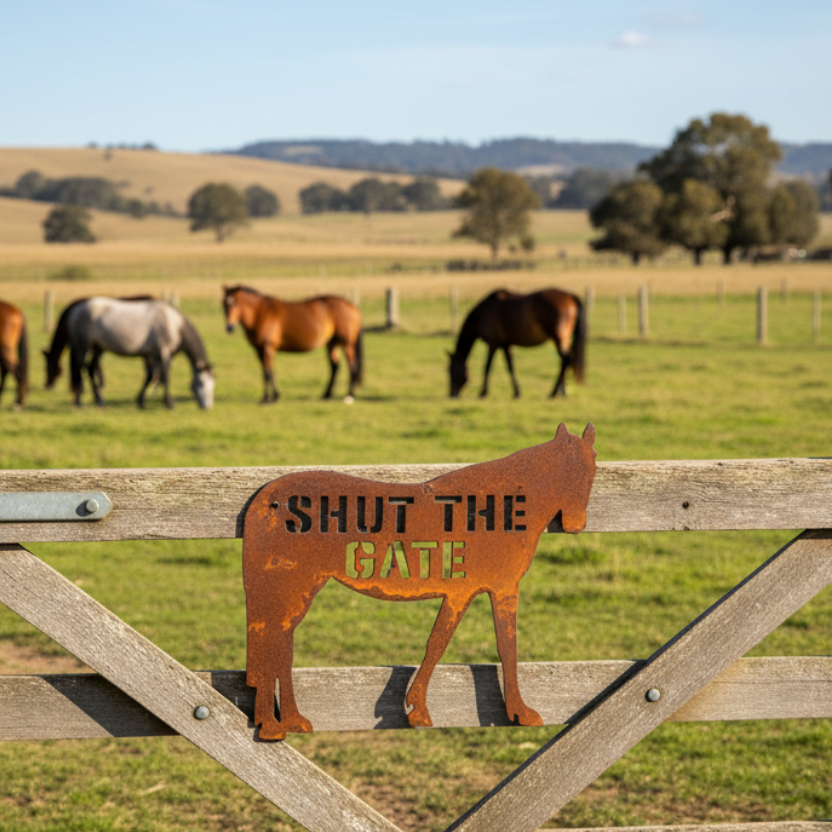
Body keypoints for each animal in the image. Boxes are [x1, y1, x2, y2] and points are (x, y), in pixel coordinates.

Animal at [44, 297, 215, 409]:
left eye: (213, 385)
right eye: (201, 383)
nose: (207, 406)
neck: (173, 324)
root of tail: (75, 310)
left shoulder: (155, 355)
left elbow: (152, 377)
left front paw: (142, 400)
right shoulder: (163, 353)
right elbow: (165, 377)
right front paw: (169, 403)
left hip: (98, 349)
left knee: (91, 369)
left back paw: (100, 400)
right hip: (82, 348)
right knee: (80, 370)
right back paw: (80, 401)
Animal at [222, 285, 363, 403]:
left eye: (235, 303)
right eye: (224, 305)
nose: (229, 328)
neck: (261, 314)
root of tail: (352, 306)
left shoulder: (268, 347)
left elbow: (268, 372)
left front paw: (271, 398)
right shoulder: (259, 349)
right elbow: (266, 372)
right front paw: (268, 397)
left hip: (347, 344)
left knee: (352, 366)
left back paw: (349, 396)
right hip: (332, 343)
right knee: (335, 367)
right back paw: (326, 395)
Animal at [243, 422, 597, 740]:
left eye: (592, 470)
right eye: (566, 472)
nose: (575, 524)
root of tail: (268, 500)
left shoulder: (478, 591)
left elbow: (460, 643)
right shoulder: (485, 590)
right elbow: (473, 645)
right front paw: (422, 711)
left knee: (279, 646)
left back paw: (288, 721)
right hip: (291, 588)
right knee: (272, 645)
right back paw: (273, 726)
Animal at [448, 288, 586, 399]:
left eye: (450, 371)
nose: (452, 394)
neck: (482, 314)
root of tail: (570, 296)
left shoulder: (493, 344)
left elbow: (487, 366)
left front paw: (483, 393)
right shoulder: (506, 344)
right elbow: (510, 366)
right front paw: (517, 392)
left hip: (558, 338)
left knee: (565, 360)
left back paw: (554, 392)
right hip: (564, 339)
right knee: (566, 361)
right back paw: (561, 391)